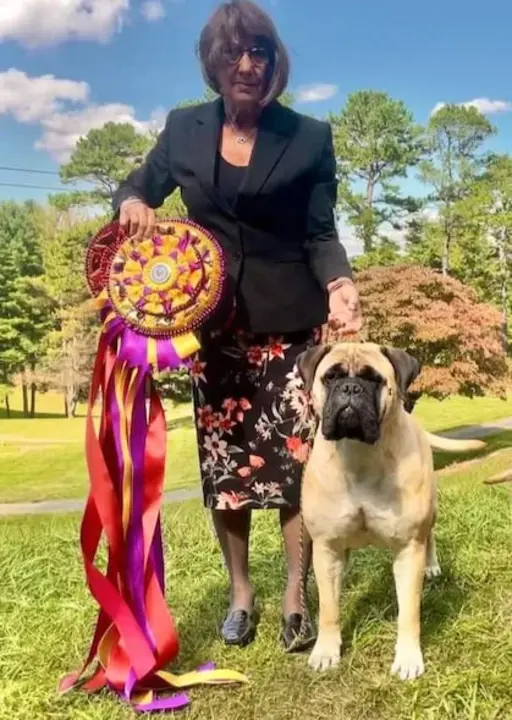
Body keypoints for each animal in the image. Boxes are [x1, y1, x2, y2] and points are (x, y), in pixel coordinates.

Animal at [296, 344, 484, 680]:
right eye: (331, 377)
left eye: (374, 380)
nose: (350, 388)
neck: (359, 455)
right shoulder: (327, 549)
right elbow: (329, 608)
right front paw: (326, 650)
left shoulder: (409, 548)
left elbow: (409, 612)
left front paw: (408, 657)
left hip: (430, 512)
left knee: (430, 535)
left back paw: (432, 566)